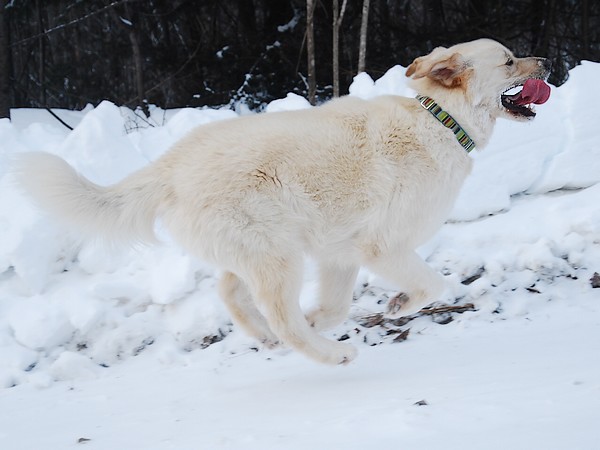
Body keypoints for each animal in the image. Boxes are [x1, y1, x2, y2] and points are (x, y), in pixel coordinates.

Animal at [14, 37, 552, 364]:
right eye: (509, 60)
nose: (545, 62)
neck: (439, 119)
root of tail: (171, 165)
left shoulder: (340, 256)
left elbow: (334, 308)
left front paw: (325, 319)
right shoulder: (383, 248)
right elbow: (431, 283)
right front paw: (399, 303)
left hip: (260, 250)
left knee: (232, 293)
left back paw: (267, 336)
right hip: (278, 257)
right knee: (277, 314)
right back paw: (331, 354)